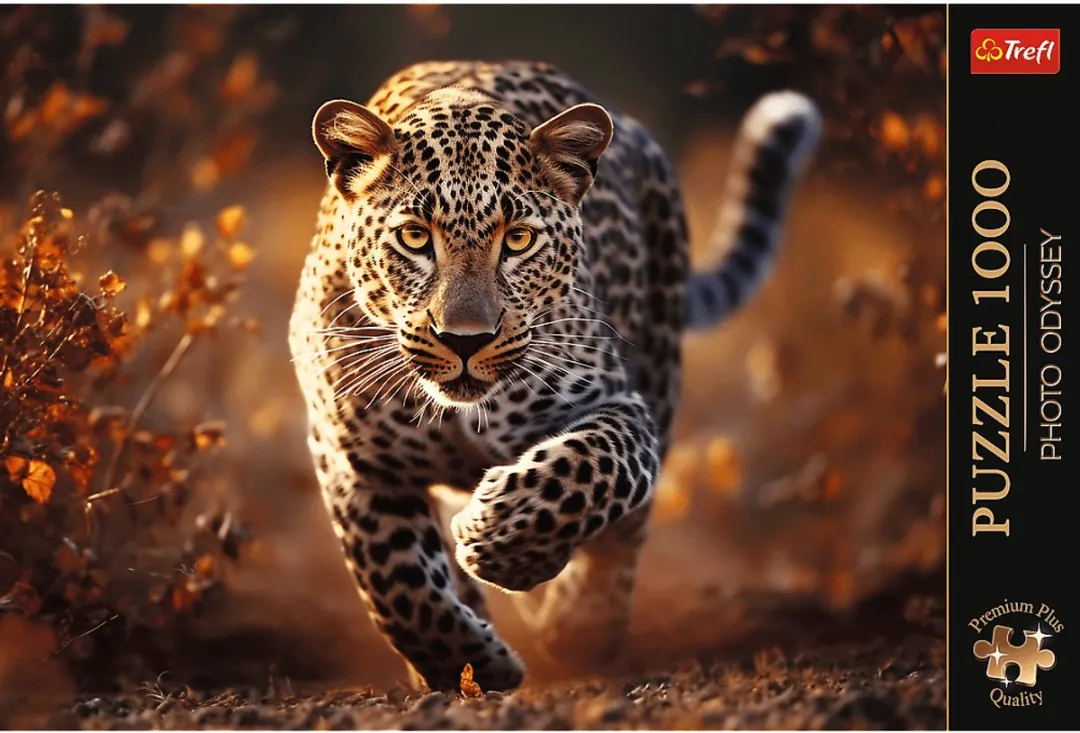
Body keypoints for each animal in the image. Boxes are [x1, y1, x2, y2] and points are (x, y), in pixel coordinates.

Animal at [288, 60, 820, 693]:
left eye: (518, 240)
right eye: (415, 237)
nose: (465, 339)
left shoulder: (619, 405)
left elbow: (590, 469)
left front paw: (502, 541)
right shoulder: (350, 458)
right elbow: (396, 582)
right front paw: (468, 664)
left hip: (661, 366)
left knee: (624, 536)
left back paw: (582, 625)